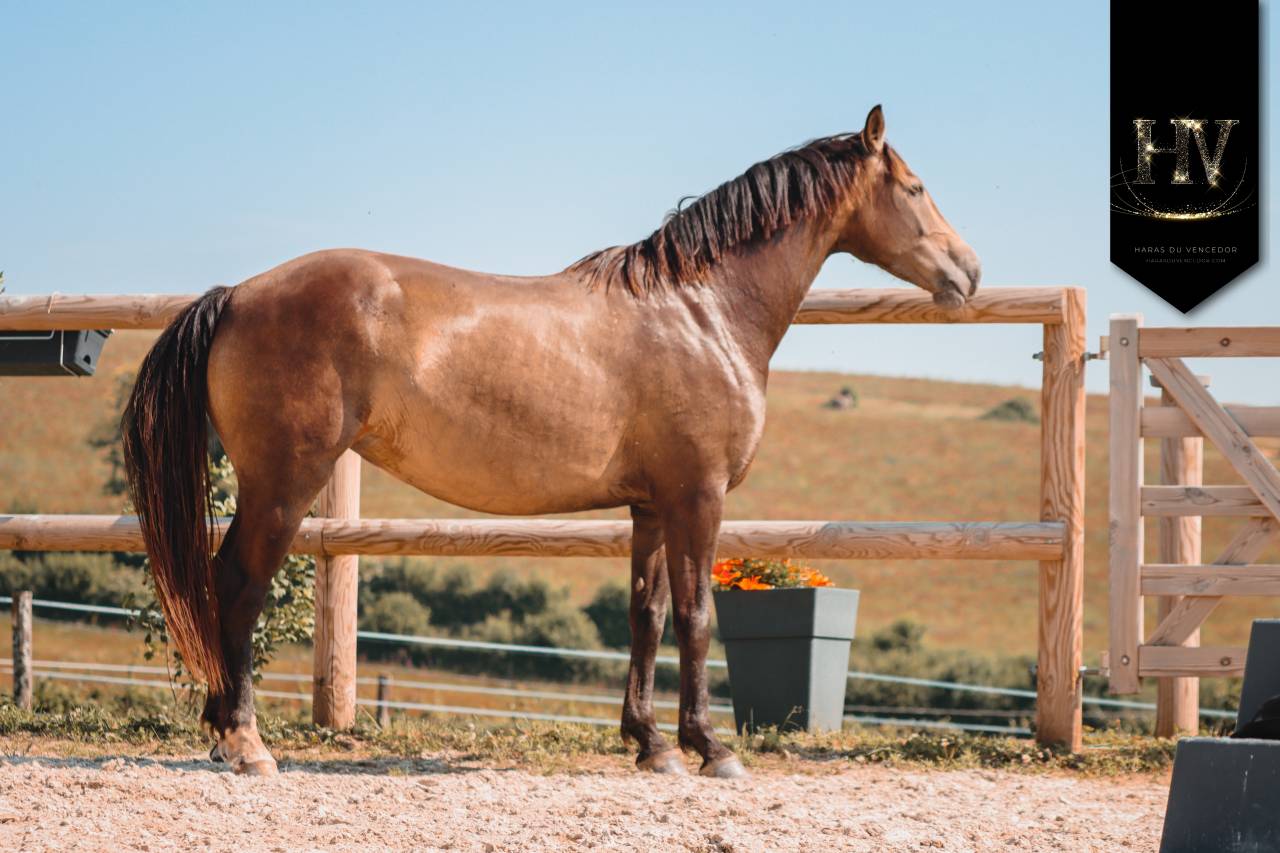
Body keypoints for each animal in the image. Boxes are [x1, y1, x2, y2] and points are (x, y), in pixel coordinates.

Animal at [121, 105, 980, 777]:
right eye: (915, 189)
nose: (969, 271)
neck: (702, 309)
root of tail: (237, 295)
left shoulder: (649, 507)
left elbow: (648, 615)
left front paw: (651, 745)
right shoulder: (697, 497)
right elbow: (698, 615)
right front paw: (711, 748)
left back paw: (222, 734)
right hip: (285, 483)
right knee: (238, 587)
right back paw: (245, 742)